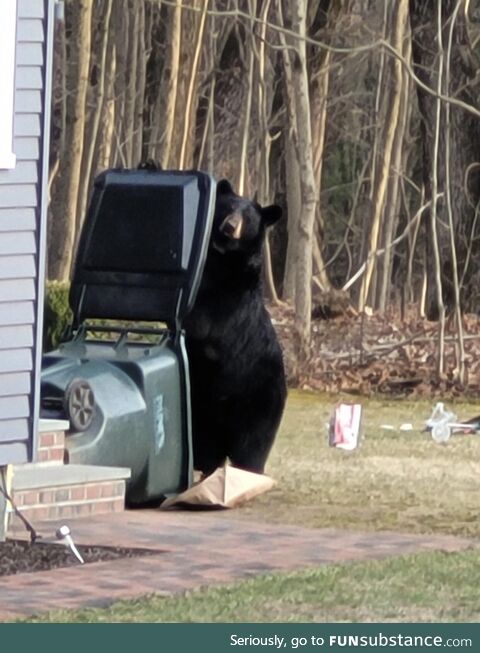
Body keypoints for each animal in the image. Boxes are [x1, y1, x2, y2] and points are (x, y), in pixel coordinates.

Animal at [184, 179, 287, 476]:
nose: (229, 226)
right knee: (206, 451)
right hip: (204, 416)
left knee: (251, 450)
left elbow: (204, 323)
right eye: (228, 207)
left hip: (258, 404)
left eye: (249, 218)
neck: (222, 262)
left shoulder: (230, 300)